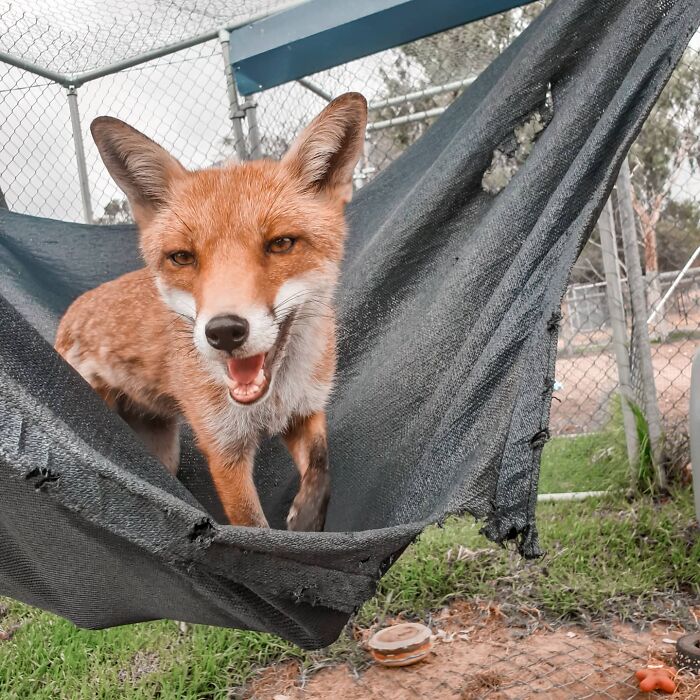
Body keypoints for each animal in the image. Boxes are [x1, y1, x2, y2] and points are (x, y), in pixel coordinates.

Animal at [54, 93, 367, 531]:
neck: (271, 397)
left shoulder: (304, 411)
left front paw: (307, 519)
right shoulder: (224, 450)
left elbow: (323, 466)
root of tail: (72, 311)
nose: (224, 332)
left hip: (163, 448)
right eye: (183, 257)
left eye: (281, 244)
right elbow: (253, 528)